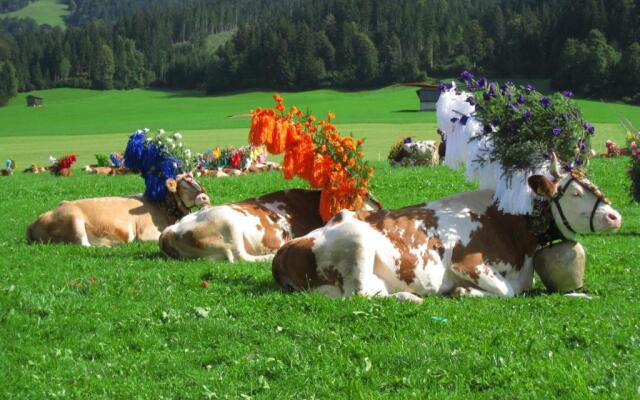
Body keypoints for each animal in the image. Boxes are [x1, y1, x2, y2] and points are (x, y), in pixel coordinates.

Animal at [27, 173, 209, 247]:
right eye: (185, 180)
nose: (205, 197)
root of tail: (34, 222)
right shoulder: (146, 233)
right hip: (73, 219)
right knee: (83, 244)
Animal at [272, 166, 624, 304]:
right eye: (575, 193)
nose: (615, 216)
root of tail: (284, 251)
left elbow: (515, 289)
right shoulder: (467, 263)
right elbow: (507, 291)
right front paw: (463, 291)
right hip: (358, 243)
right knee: (360, 294)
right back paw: (410, 297)